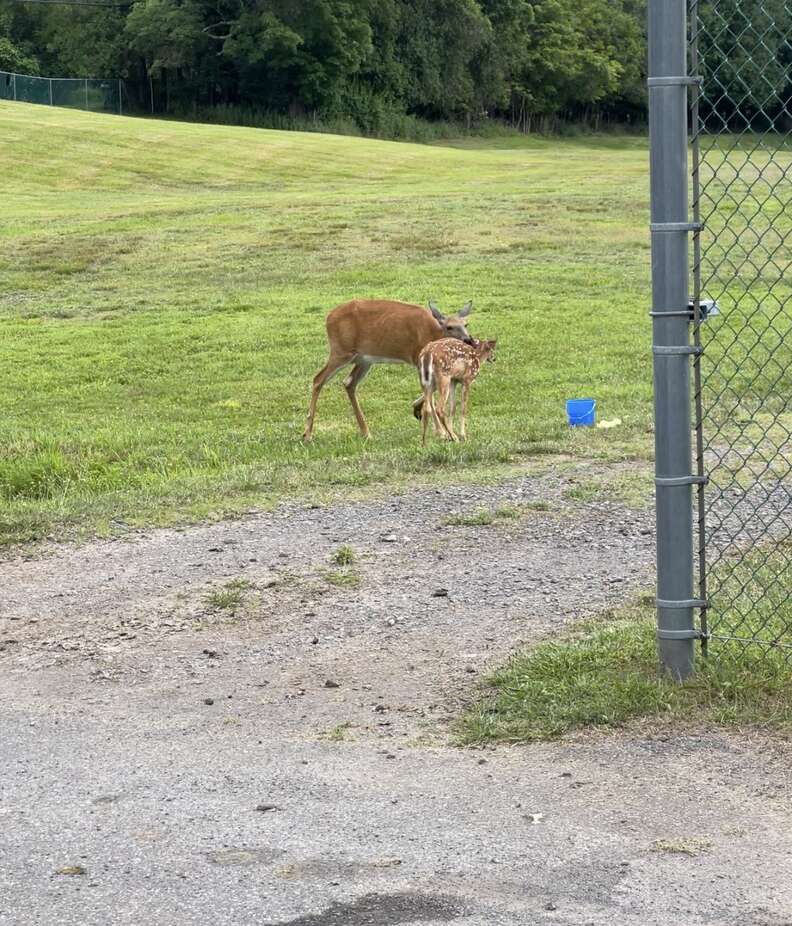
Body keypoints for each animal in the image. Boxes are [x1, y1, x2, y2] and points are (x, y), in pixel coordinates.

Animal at [304, 300, 470, 440]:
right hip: (341, 351)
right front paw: (441, 432)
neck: (432, 334)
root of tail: (328, 318)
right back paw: (307, 434)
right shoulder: (417, 359)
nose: (468, 340)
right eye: (449, 327)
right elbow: (430, 393)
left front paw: (417, 410)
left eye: (466, 324)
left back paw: (366, 432)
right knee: (318, 379)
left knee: (349, 383)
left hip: (364, 360)